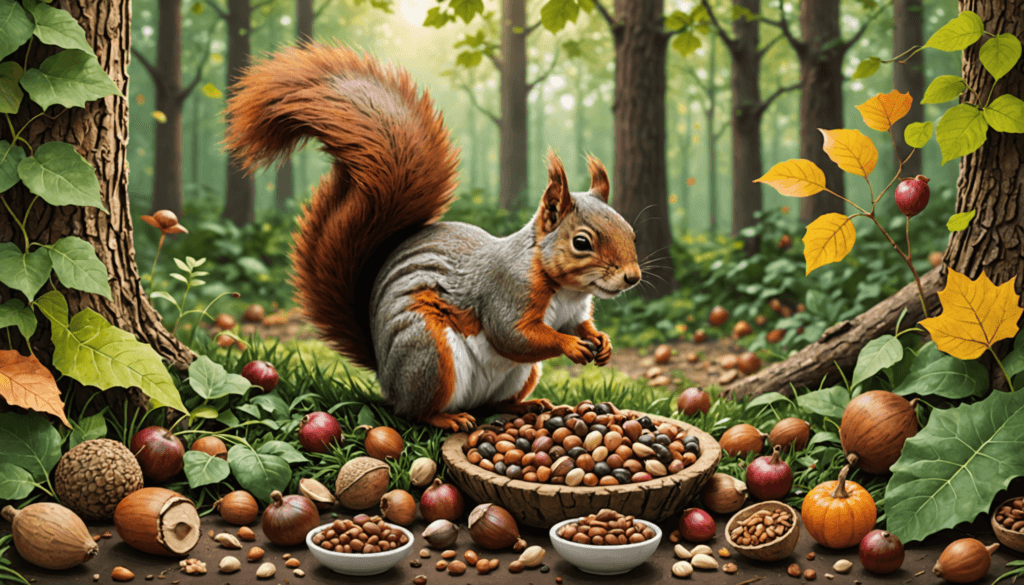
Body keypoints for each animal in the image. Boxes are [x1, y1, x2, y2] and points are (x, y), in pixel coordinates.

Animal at [224, 44, 641, 432]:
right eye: (582, 242)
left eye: (631, 232)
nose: (632, 277)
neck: (565, 287)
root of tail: (386, 376)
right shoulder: (507, 291)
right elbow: (514, 336)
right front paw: (570, 346)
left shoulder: (573, 310)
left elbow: (577, 326)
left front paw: (601, 342)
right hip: (428, 352)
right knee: (413, 413)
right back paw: (447, 419)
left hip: (520, 374)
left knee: (493, 404)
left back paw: (525, 406)